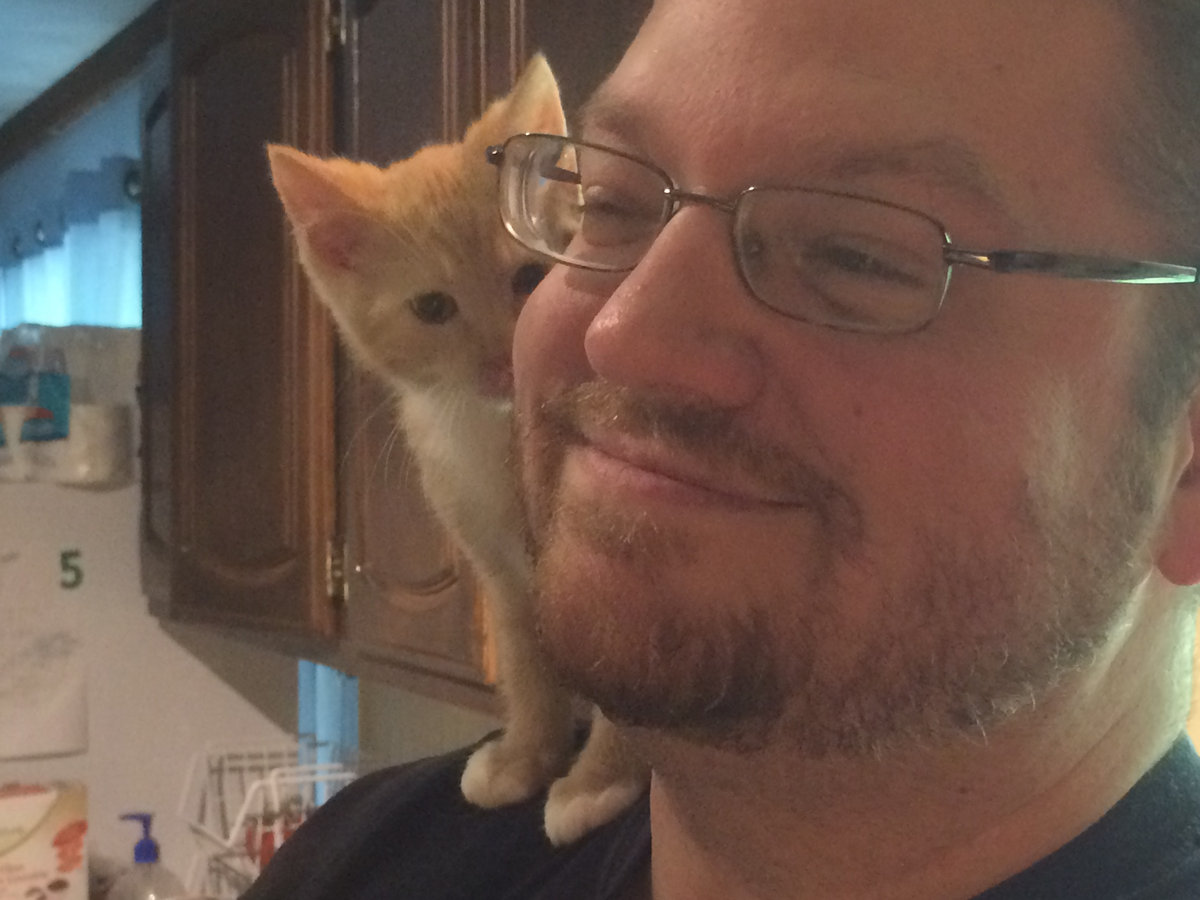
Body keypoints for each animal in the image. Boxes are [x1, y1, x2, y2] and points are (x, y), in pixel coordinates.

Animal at [267, 53, 647, 846]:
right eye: (433, 308)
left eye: (529, 277)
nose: (504, 360)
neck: (494, 438)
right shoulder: (500, 574)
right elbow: (528, 670)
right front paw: (525, 756)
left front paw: (598, 781)